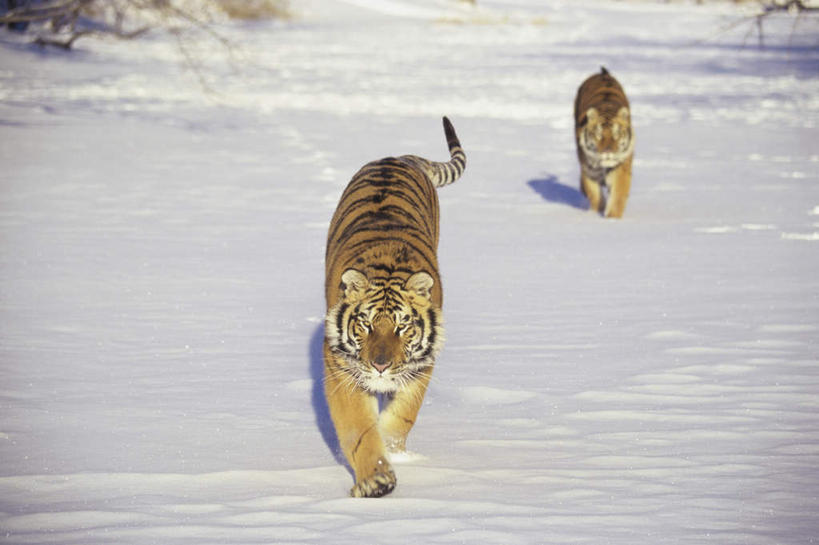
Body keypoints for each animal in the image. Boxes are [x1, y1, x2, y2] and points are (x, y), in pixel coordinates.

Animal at [326, 115, 468, 498]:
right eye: (365, 325)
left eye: (403, 326)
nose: (380, 366)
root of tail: (399, 156)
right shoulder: (340, 368)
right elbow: (358, 427)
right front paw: (375, 479)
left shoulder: (422, 364)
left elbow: (403, 414)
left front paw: (393, 449)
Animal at [572, 64, 636, 217]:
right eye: (598, 134)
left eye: (616, 134)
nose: (608, 152)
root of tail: (602, 74)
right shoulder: (589, 171)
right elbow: (594, 195)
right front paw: (595, 214)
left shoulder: (621, 168)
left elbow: (618, 196)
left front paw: (612, 218)